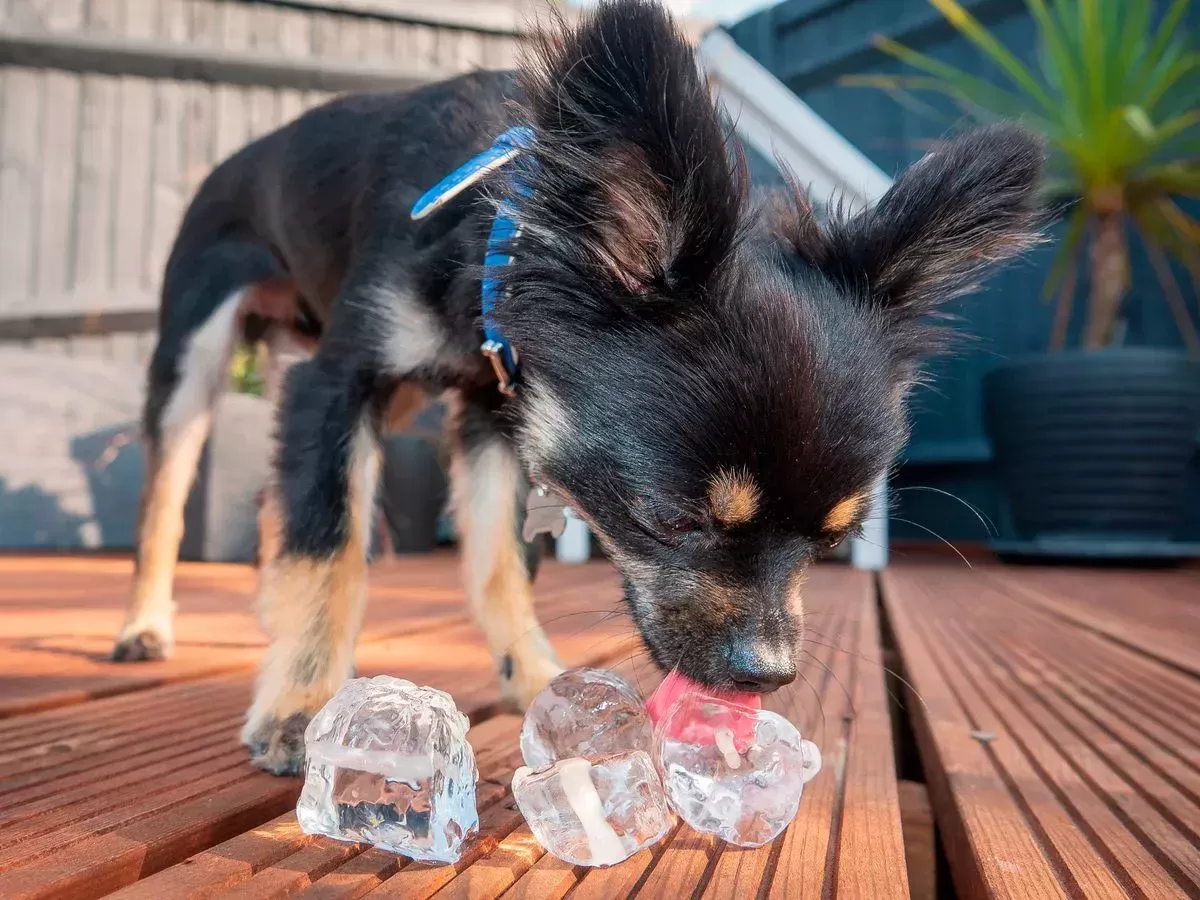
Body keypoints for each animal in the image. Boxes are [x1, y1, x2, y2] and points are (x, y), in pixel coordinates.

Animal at [112, 0, 1046, 777]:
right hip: (194, 361)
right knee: (166, 503)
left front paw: (533, 676)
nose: (769, 673)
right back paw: (146, 626)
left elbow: (496, 565)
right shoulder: (341, 383)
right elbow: (330, 548)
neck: (504, 227)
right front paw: (303, 703)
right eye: (670, 519)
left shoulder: (495, 416)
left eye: (832, 541)